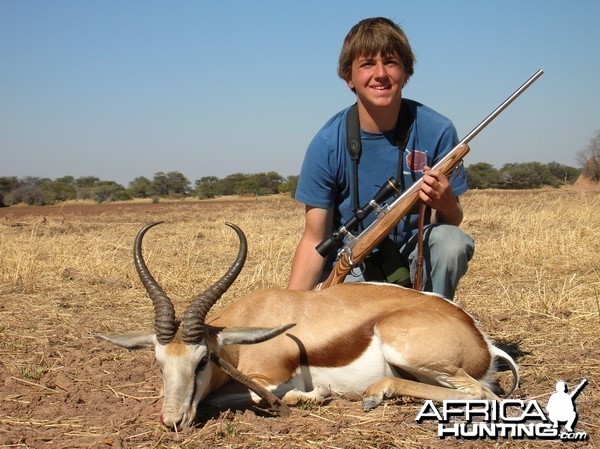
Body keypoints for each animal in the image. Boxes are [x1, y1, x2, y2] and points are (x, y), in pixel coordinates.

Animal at [96, 222, 516, 428]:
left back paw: (372, 394)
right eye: (158, 362)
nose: (173, 420)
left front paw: (316, 396)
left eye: (202, 361)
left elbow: (261, 397)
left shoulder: (271, 377)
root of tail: (480, 339)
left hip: (409, 351)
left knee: (484, 395)